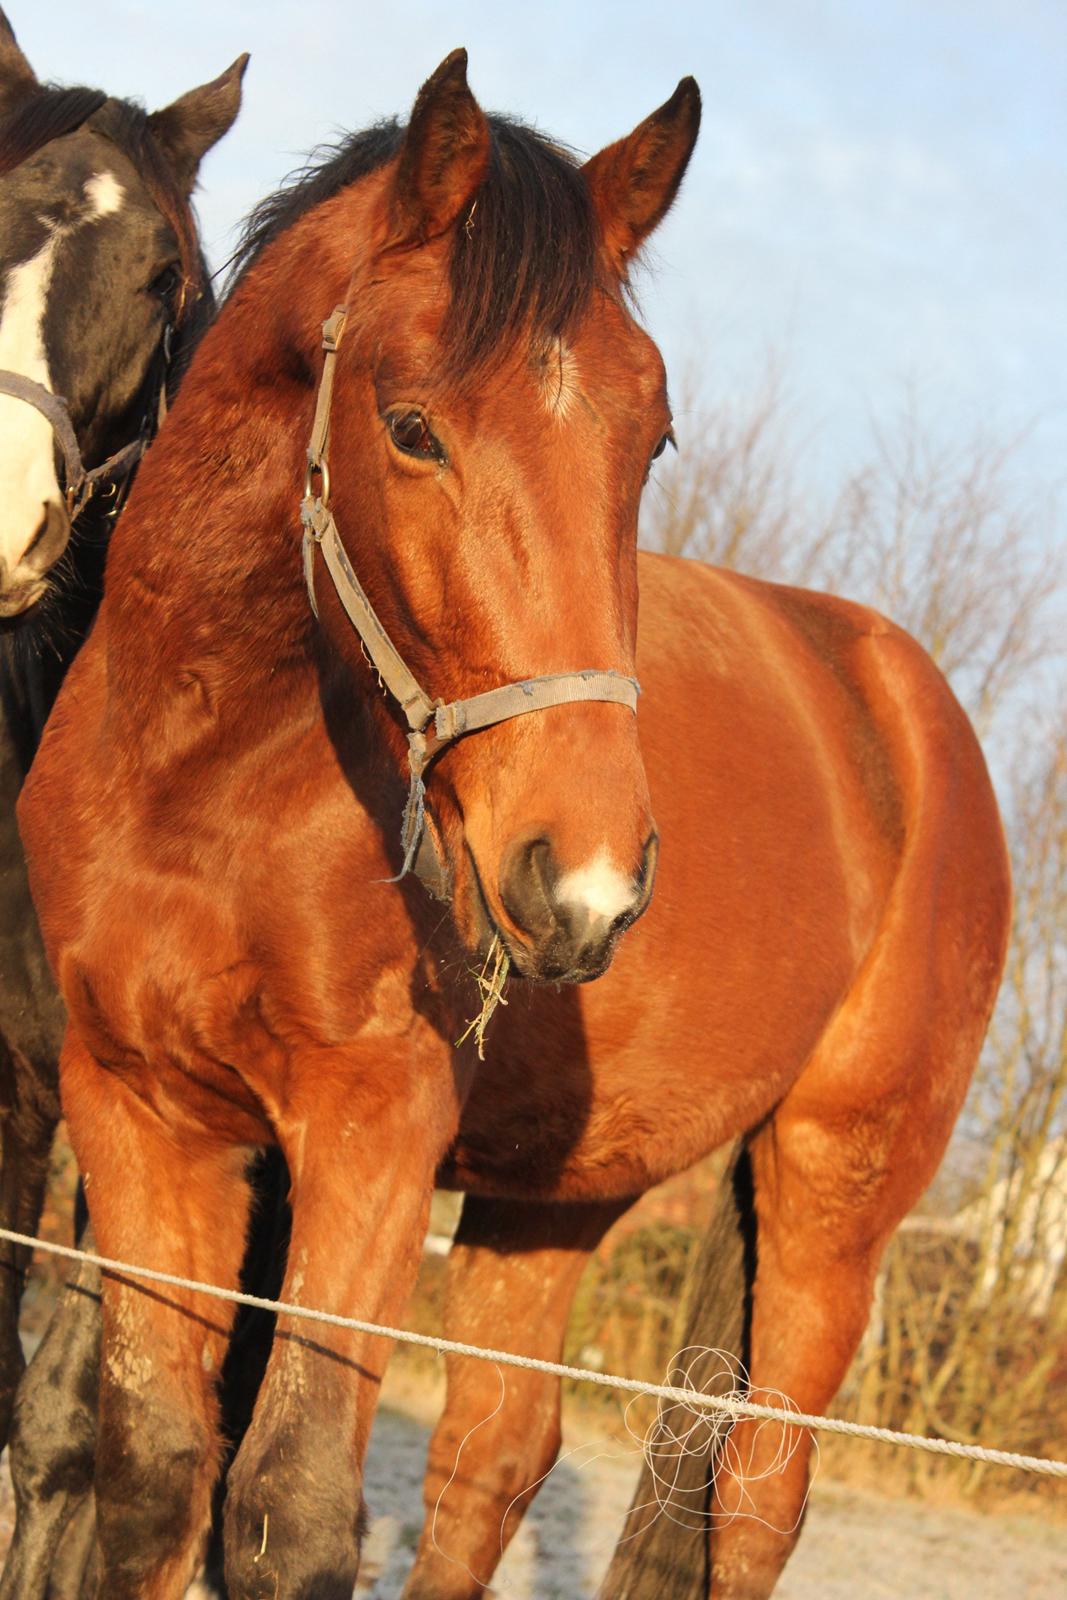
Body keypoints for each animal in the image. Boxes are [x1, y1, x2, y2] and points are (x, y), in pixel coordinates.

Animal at [18, 50, 710, 1600]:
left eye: (649, 438)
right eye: (409, 428)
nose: (586, 886)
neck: (197, 778)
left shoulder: (372, 1126)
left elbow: (286, 1511)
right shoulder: (136, 1109)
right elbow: (150, 1473)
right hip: (549, 1208)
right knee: (492, 1460)